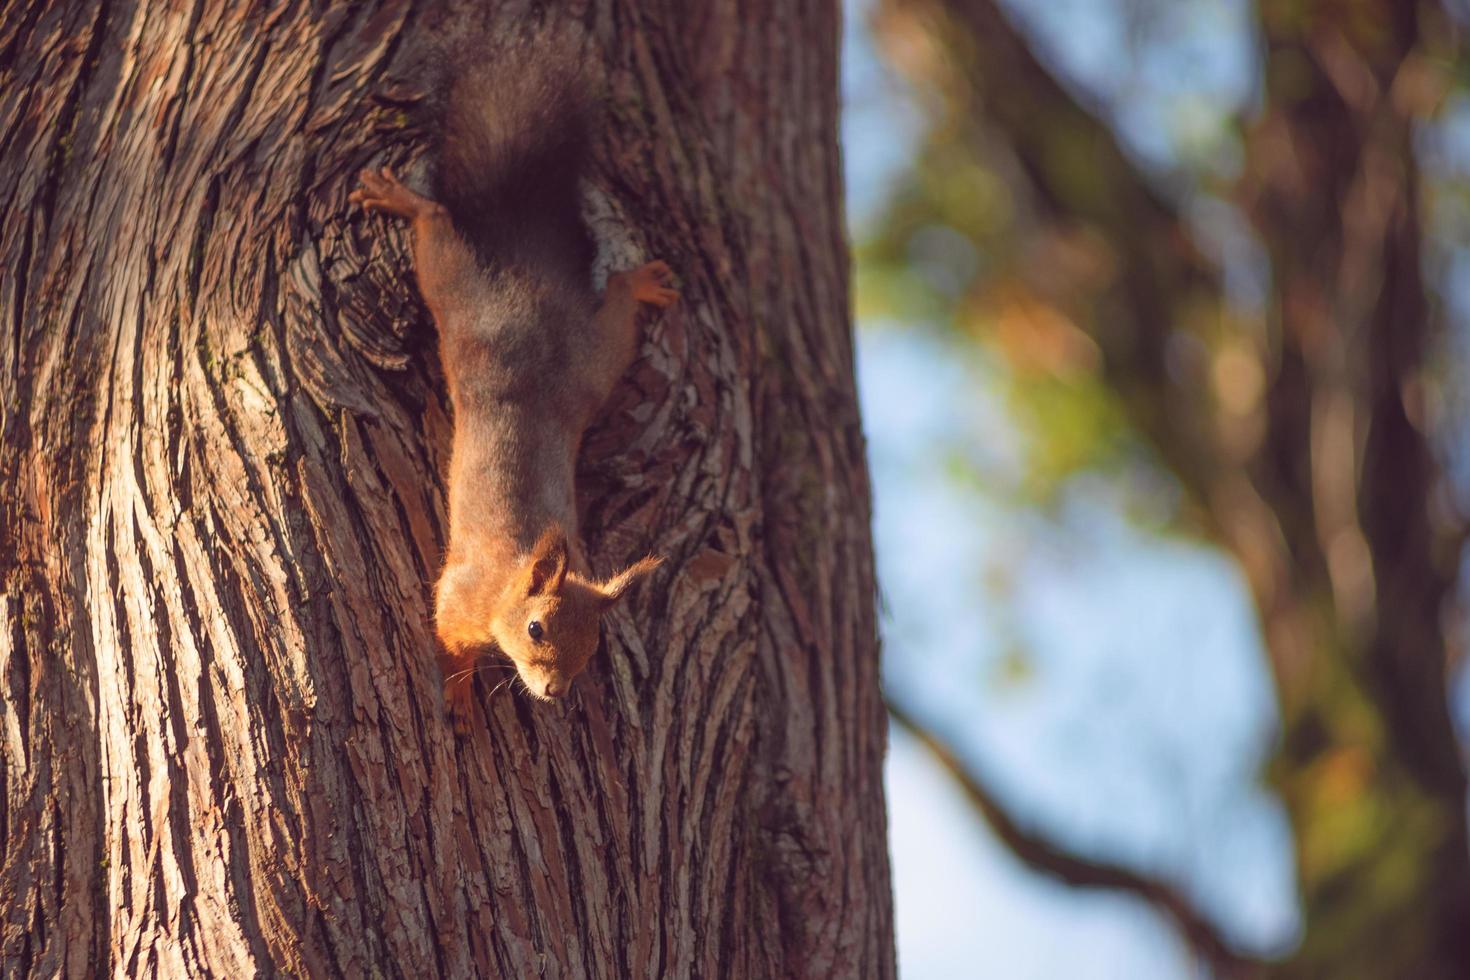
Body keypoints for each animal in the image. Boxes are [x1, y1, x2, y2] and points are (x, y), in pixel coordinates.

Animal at [349, 32, 676, 728]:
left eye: (594, 645)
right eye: (536, 629)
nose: (554, 691)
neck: (509, 580)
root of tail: (532, 297)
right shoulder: (458, 594)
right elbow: (448, 641)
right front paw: (459, 691)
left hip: (594, 362)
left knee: (614, 299)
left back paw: (640, 283)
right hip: (459, 296)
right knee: (435, 226)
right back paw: (400, 200)